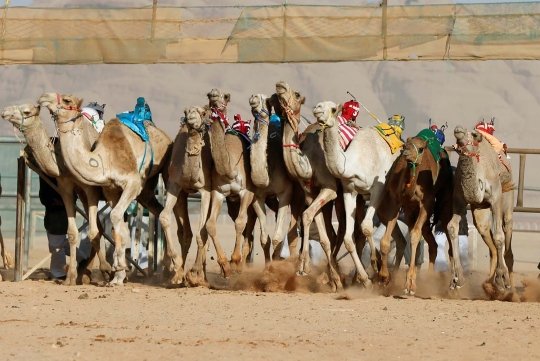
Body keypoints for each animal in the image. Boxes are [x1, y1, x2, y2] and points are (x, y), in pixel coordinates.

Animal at [0, 102, 112, 282]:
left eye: (27, 111)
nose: (5, 111)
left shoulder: (90, 188)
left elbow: (94, 231)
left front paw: (107, 270)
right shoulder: (68, 187)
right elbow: (75, 233)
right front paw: (72, 276)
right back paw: (85, 273)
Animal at [37, 94, 173, 286]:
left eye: (66, 100)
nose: (44, 97)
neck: (104, 160)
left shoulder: (132, 183)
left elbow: (113, 219)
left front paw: (116, 271)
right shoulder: (109, 190)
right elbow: (117, 229)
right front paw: (117, 274)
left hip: (163, 170)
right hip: (146, 191)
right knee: (160, 211)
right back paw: (169, 266)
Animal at [250, 93, 304, 260]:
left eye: (265, 100)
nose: (253, 97)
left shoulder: (286, 193)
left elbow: (277, 238)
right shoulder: (258, 197)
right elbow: (264, 240)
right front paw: (268, 264)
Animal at [376, 128, 456, 294]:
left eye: (420, 149)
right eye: (405, 146)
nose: (406, 152)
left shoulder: (427, 203)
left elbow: (414, 236)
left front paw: (410, 284)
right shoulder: (397, 202)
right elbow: (385, 241)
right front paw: (383, 278)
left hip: (444, 197)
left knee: (448, 237)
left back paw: (452, 283)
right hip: (412, 212)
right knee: (432, 244)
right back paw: (428, 279)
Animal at [448, 126, 516, 296]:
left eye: (473, 134)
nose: (458, 129)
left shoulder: (496, 197)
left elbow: (499, 237)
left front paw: (502, 279)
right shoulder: (459, 199)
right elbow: (452, 227)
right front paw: (457, 279)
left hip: (508, 192)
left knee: (507, 226)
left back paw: (509, 288)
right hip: (480, 209)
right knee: (484, 230)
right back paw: (490, 284)